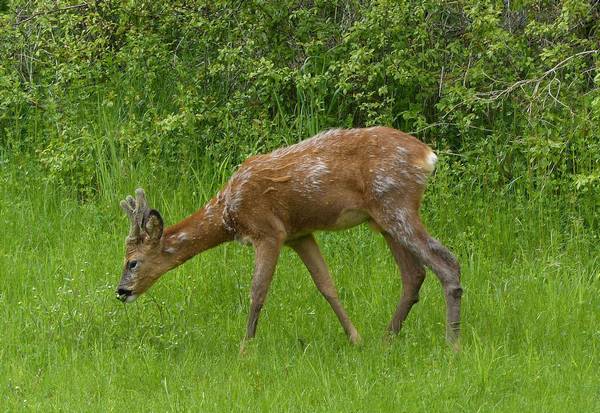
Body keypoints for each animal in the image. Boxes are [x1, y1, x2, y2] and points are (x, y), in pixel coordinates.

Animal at [117, 126, 464, 348]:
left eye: (132, 262)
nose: (121, 291)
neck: (228, 213)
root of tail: (428, 156)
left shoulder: (269, 231)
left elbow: (257, 291)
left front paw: (245, 348)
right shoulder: (300, 233)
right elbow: (326, 285)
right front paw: (355, 338)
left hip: (396, 204)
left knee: (446, 262)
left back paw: (452, 344)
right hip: (381, 218)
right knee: (414, 273)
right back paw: (386, 339)